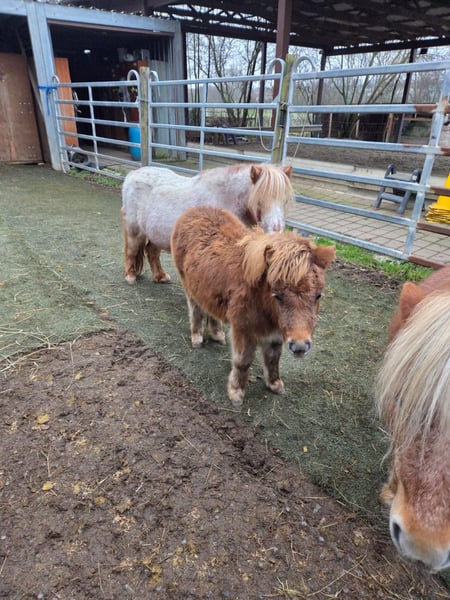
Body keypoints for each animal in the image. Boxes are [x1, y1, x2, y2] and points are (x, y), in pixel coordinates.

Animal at [121, 162, 294, 284]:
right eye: (259, 200)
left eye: (285, 201)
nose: (276, 231)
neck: (226, 199)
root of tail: (132, 174)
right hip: (134, 230)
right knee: (131, 250)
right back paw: (130, 276)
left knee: (152, 251)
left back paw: (160, 276)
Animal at [171, 206, 335, 408]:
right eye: (277, 295)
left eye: (318, 295)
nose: (299, 347)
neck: (262, 301)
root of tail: (192, 211)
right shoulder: (243, 329)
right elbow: (243, 361)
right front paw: (236, 393)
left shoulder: (275, 334)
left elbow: (273, 359)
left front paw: (275, 384)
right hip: (188, 286)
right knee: (195, 310)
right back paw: (197, 338)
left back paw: (217, 335)